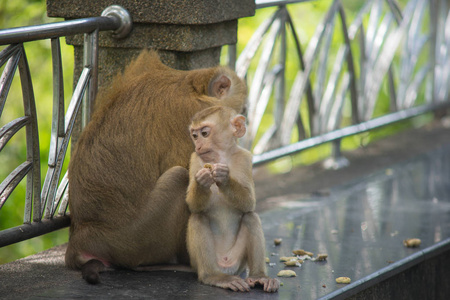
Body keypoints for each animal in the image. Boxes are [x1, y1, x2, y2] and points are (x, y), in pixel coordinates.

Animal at [66, 49, 246, 284]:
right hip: (136, 240)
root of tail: (80, 237)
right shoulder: (195, 116)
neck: (189, 83)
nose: (243, 121)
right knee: (179, 177)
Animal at [185, 106, 278, 292]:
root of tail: (225, 265)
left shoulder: (244, 157)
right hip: (200, 262)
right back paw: (214, 277)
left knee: (251, 216)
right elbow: (193, 207)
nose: (198, 145)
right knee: (198, 218)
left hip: (239, 261)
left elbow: (249, 202)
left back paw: (259, 276)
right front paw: (202, 181)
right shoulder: (195, 159)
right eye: (194, 135)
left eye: (204, 133)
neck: (220, 156)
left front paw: (224, 178)